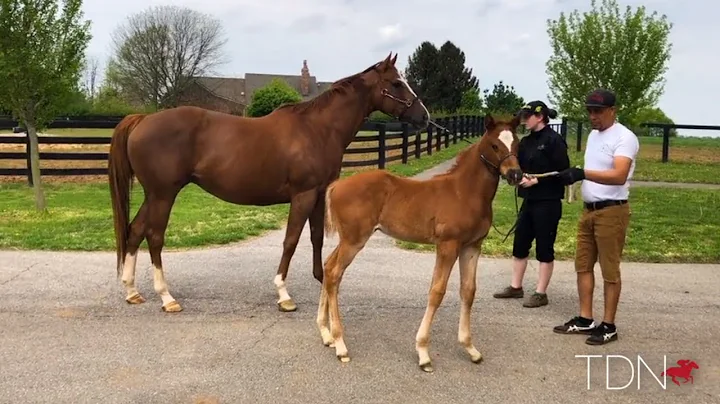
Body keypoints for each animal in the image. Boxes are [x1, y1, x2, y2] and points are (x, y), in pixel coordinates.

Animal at [316, 114, 524, 372]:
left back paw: (326, 334)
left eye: (517, 143)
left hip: (348, 239)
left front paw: (470, 348)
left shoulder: (472, 246)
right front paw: (423, 353)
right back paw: (340, 344)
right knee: (334, 273)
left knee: (328, 267)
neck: (464, 192)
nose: (515, 174)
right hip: (354, 240)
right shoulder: (448, 245)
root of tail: (337, 185)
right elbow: (437, 291)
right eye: (495, 145)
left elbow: (468, 291)